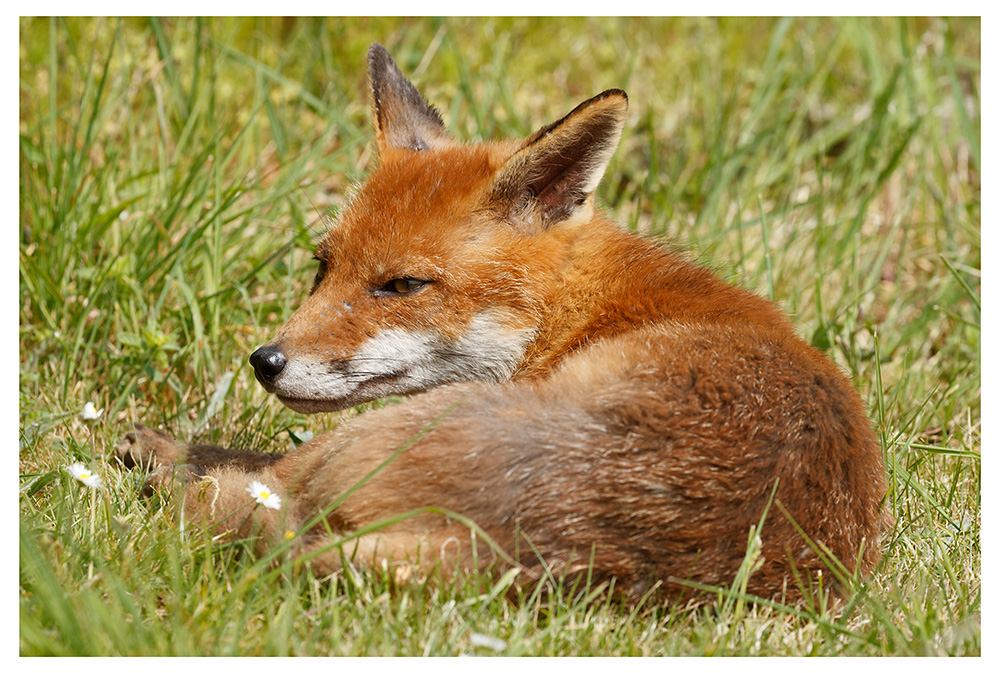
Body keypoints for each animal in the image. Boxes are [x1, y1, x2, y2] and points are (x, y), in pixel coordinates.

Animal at [116, 43, 891, 604]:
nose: (266, 361)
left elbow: (241, 467)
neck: (579, 307)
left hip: (384, 434)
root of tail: (531, 552)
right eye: (322, 267)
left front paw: (167, 454)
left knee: (255, 488)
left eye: (404, 285)